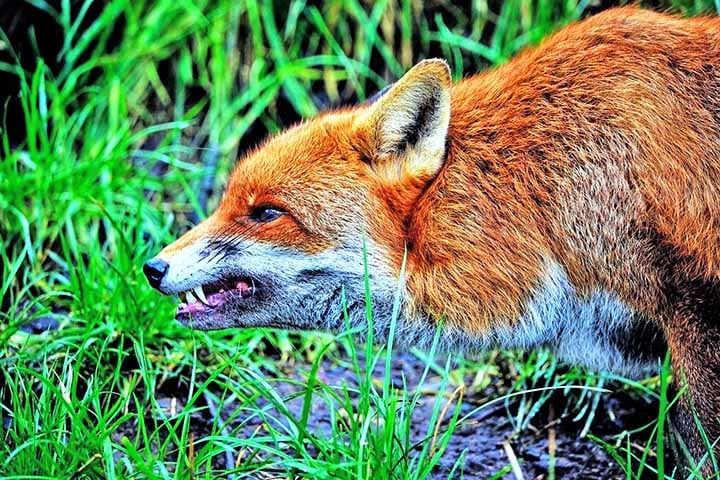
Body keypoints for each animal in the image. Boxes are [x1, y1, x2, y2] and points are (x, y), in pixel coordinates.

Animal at [144, 6, 720, 471]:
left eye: (266, 212)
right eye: (224, 202)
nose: (152, 268)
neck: (545, 193)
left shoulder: (697, 313)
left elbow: (699, 445)